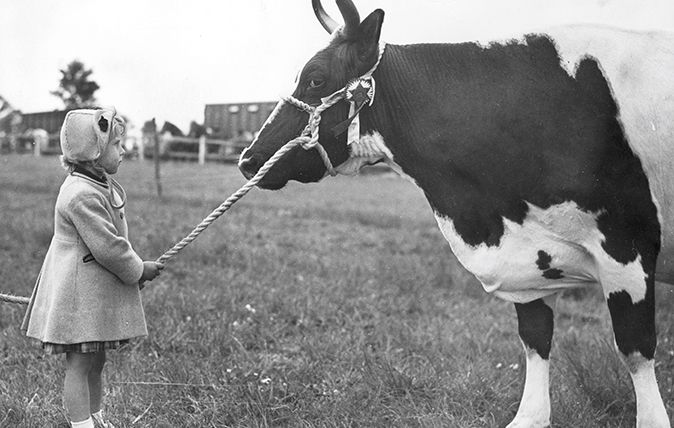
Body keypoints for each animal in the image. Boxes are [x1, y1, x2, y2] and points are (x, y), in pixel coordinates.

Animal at [238, 1, 672, 426]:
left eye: (315, 79)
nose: (248, 159)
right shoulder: (530, 258)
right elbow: (535, 339)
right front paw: (530, 415)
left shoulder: (625, 245)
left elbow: (635, 347)